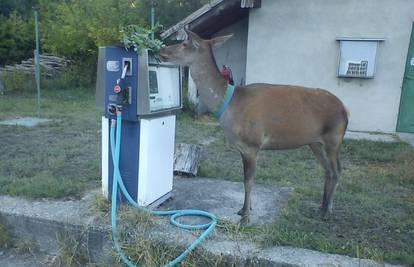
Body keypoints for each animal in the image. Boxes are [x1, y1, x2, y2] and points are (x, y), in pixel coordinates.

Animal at [160, 30, 348, 225]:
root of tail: (345, 109)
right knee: (327, 170)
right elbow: (245, 179)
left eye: (185, 43)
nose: (161, 49)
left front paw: (246, 217)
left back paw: (327, 211)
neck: (230, 107)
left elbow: (248, 181)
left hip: (334, 137)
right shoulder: (243, 148)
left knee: (337, 170)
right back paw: (322, 206)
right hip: (315, 143)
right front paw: (243, 209)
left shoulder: (252, 144)